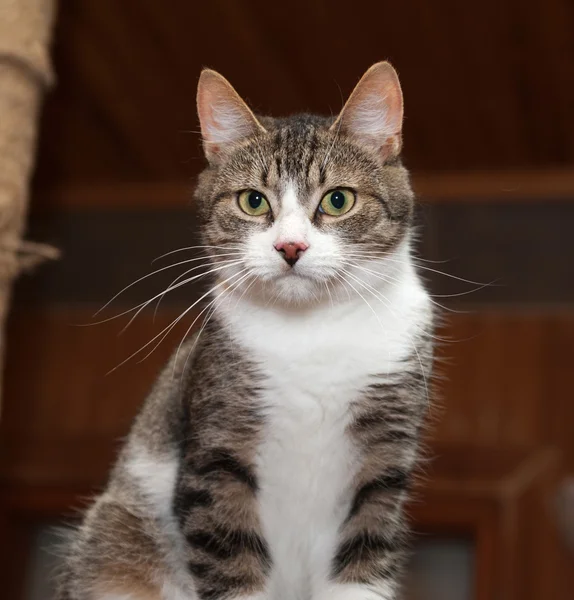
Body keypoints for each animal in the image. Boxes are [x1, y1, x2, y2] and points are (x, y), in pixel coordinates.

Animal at [58, 62, 436, 600]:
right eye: (253, 202)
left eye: (338, 200)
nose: (291, 247)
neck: (311, 331)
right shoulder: (217, 451)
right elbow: (229, 550)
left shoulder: (384, 459)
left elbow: (365, 550)